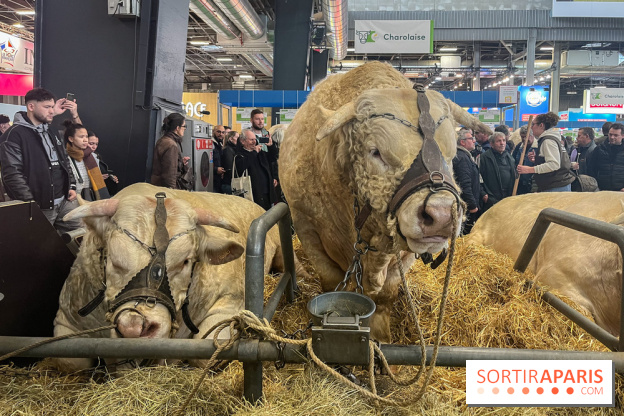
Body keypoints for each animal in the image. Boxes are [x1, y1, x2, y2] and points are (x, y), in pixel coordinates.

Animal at [280, 61, 492, 342]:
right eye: (376, 152)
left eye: (452, 153)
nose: (442, 215)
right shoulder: (307, 228)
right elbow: (331, 283)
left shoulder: (404, 254)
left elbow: (385, 296)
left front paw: (381, 338)